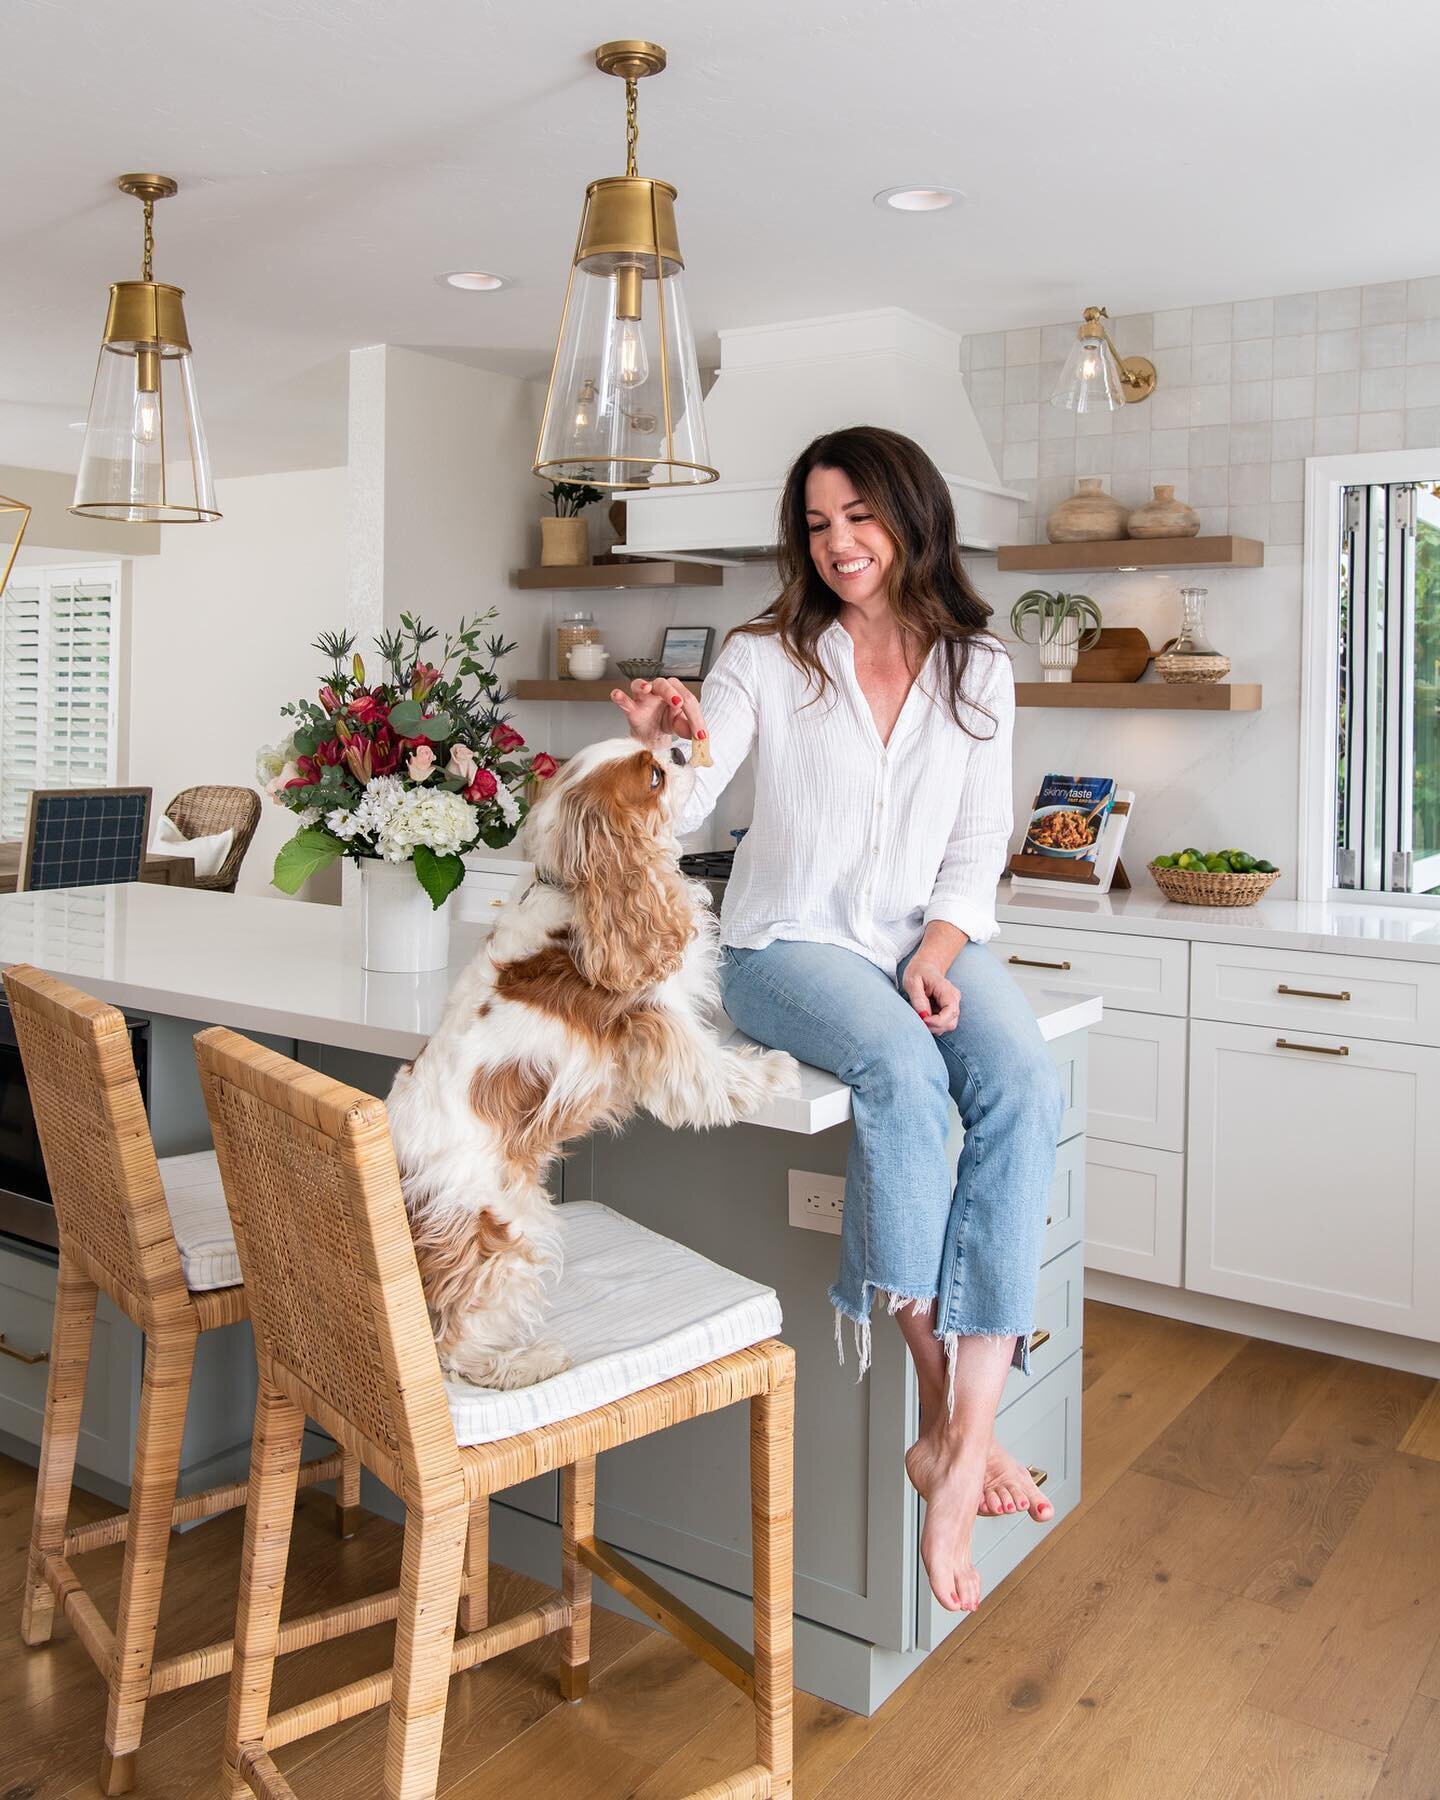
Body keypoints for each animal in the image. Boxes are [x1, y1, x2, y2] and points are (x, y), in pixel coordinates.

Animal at [385, 730, 799, 1389]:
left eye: (657, 747)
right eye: (655, 776)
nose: (682, 745)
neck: (583, 884)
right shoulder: (658, 1020)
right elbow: (710, 1071)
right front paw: (769, 1070)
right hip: (496, 1225)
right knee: (454, 1341)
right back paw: (526, 1363)